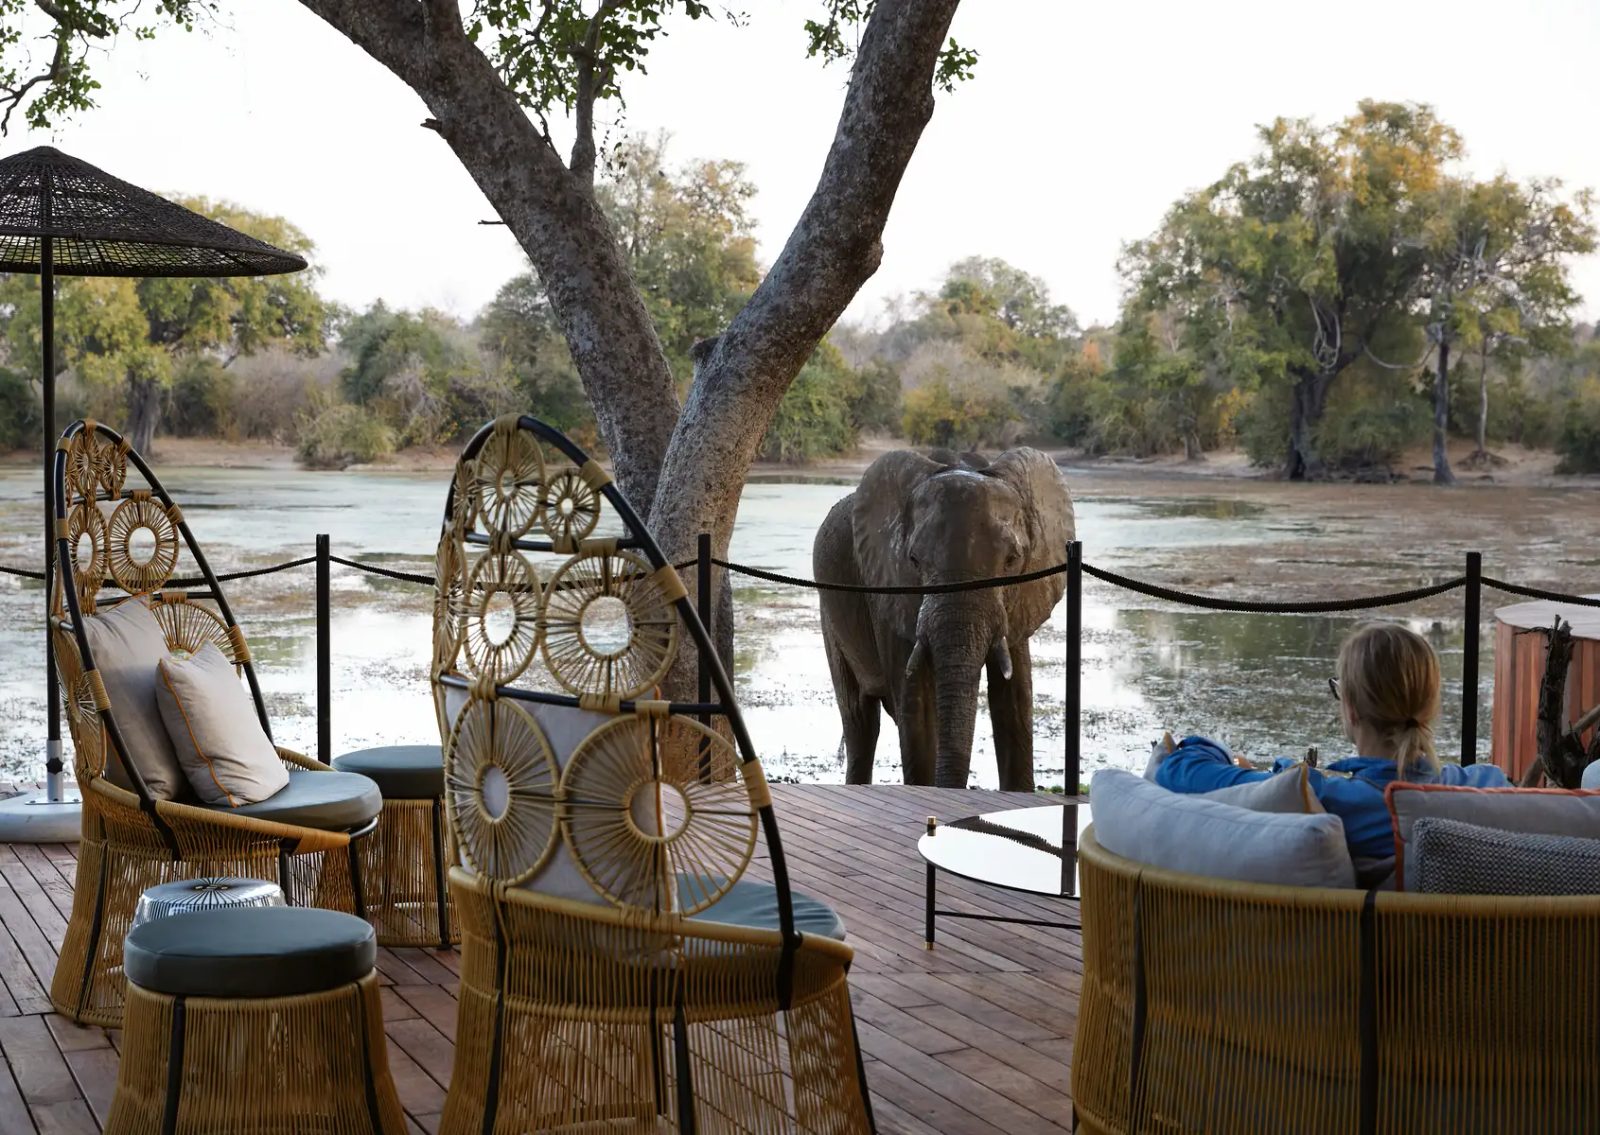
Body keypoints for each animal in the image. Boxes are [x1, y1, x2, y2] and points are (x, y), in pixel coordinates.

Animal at [814, 447, 1075, 791]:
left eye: (1012, 560)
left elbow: (1015, 704)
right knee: (860, 721)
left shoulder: (1021, 599)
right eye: (914, 560)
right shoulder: (888, 592)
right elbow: (920, 715)